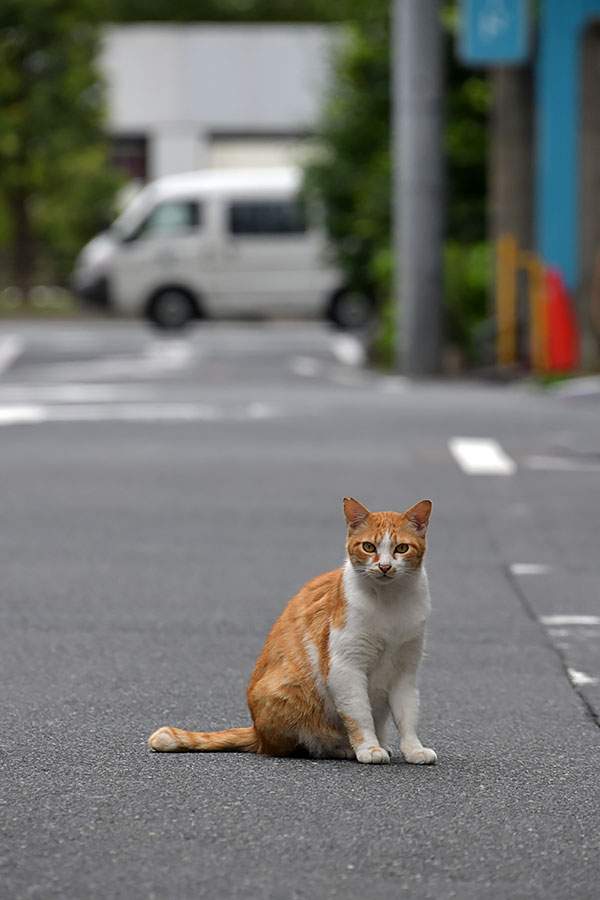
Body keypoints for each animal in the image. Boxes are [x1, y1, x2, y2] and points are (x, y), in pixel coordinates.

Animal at [150, 500, 438, 768]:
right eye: (368, 547)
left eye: (401, 548)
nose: (385, 567)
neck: (390, 604)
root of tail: (258, 732)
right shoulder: (345, 668)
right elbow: (359, 715)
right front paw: (368, 748)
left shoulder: (405, 672)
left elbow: (407, 716)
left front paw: (413, 749)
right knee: (301, 745)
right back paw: (343, 748)